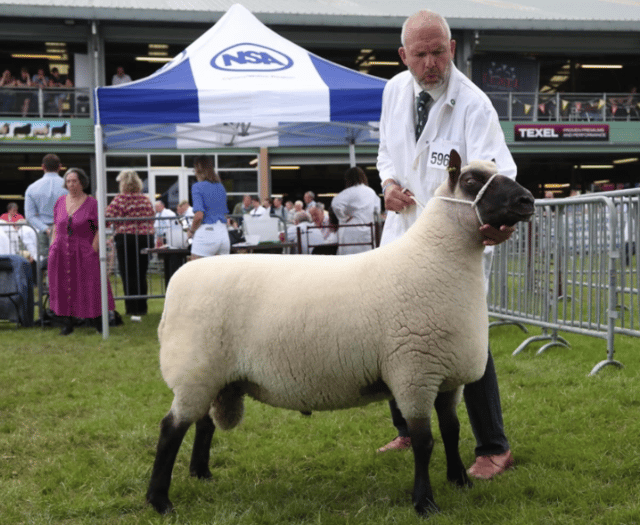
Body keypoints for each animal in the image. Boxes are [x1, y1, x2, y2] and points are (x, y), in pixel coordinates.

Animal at [146, 148, 536, 516]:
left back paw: (201, 474)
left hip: (213, 375)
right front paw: (425, 503)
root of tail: (178, 281)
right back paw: (159, 500)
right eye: (470, 181)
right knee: (171, 429)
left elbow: (452, 432)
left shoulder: (447, 377)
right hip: (195, 370)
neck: (436, 259)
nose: (528, 200)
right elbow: (425, 443)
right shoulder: (414, 373)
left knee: (203, 424)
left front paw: (460, 481)